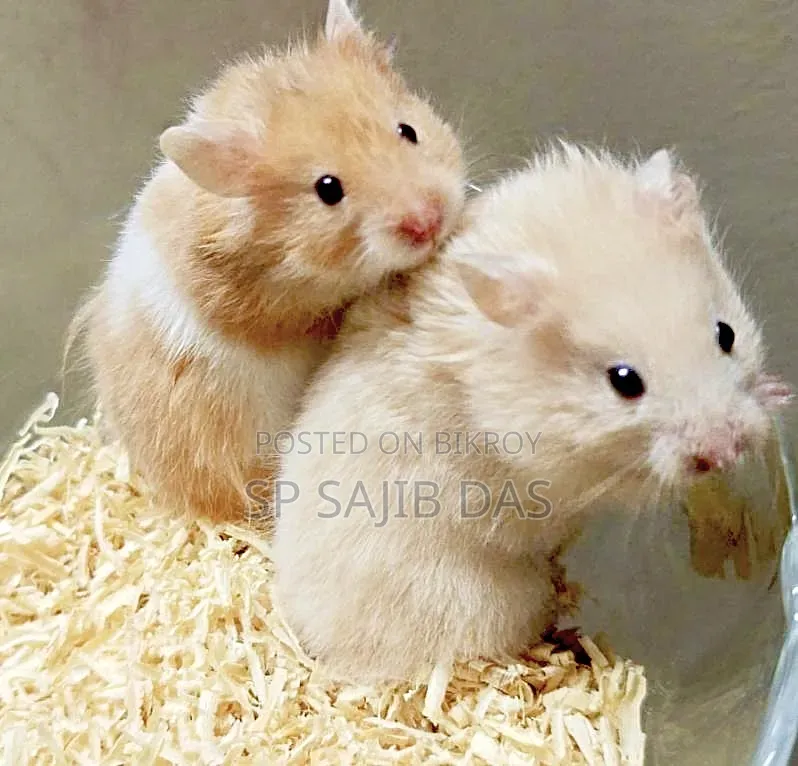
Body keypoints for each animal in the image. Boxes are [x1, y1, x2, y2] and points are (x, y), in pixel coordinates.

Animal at [271, 143, 793, 683]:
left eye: (726, 334)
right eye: (624, 381)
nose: (726, 451)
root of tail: (329, 660)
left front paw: (778, 393)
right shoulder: (568, 479)